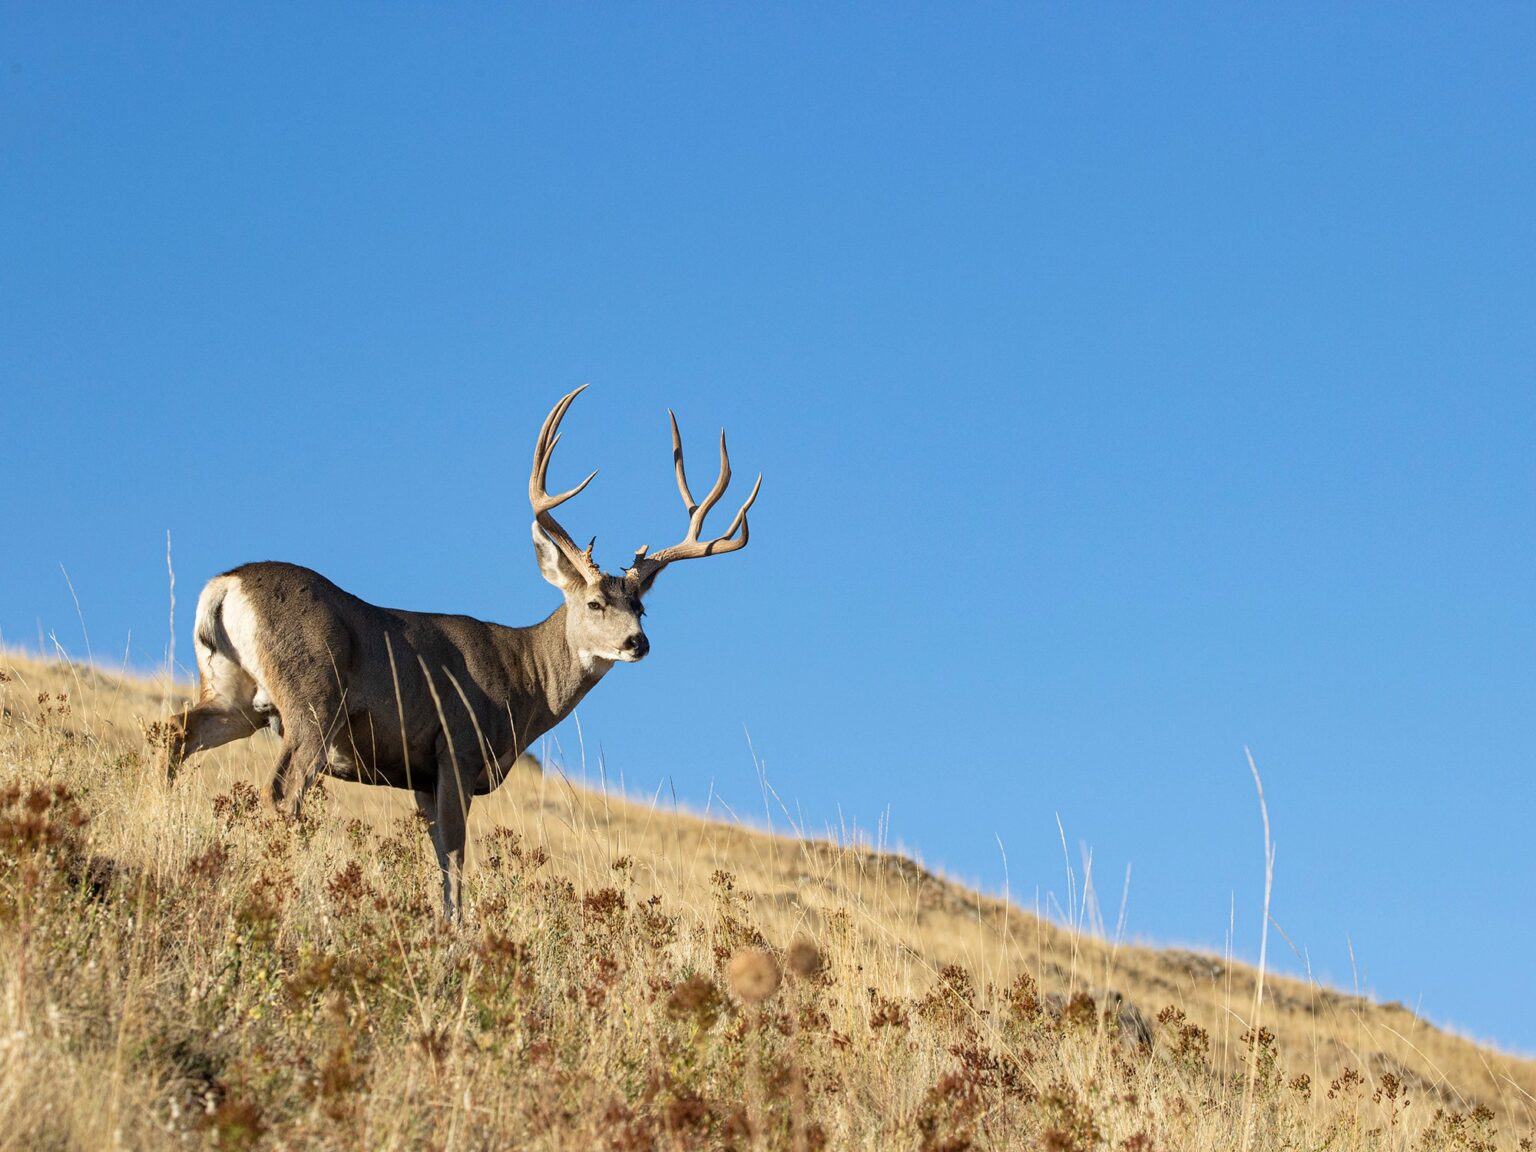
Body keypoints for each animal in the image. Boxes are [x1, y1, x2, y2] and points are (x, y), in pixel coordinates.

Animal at [157, 385, 760, 919]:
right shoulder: (456, 748)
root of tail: (225, 585)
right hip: (312, 697)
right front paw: (455, 933)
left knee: (178, 734)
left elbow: (440, 858)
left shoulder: (422, 776)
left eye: (641, 608)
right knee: (282, 790)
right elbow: (454, 856)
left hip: (235, 692)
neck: (523, 682)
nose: (638, 642)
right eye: (594, 602)